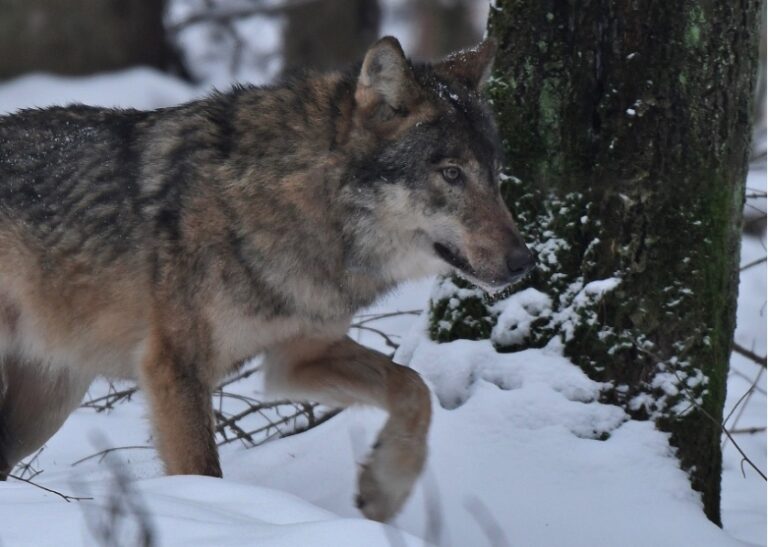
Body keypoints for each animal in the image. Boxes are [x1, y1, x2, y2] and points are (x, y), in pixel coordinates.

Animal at [0, 36, 536, 520]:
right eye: (451, 174)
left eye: (495, 174)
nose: (524, 262)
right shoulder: (173, 367)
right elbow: (203, 473)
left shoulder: (299, 356)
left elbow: (414, 387)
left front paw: (384, 490)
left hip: (46, 407)